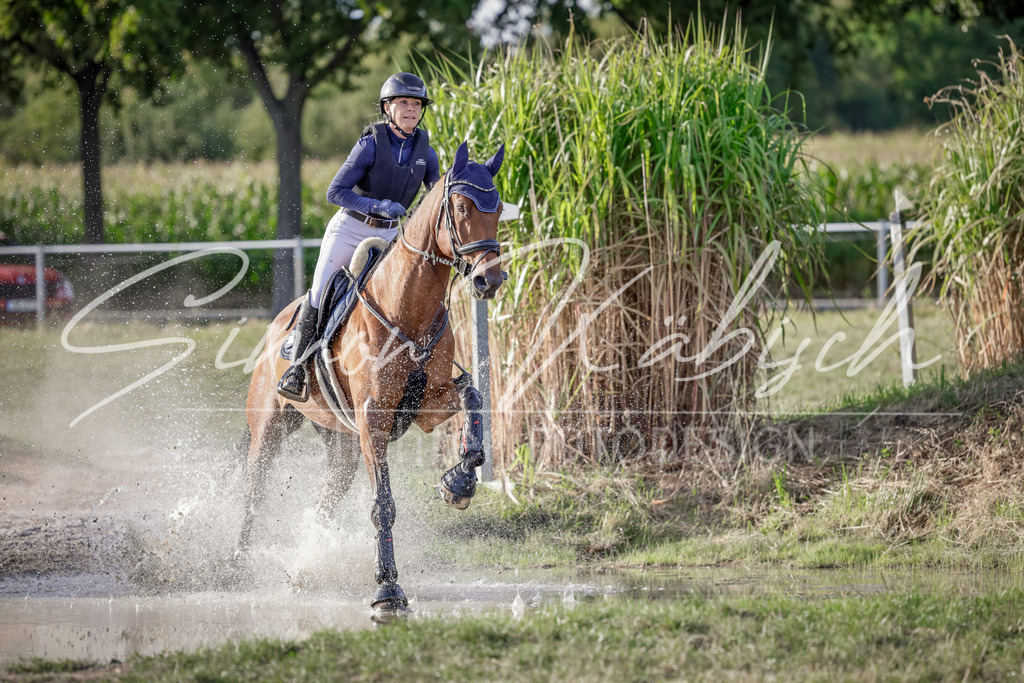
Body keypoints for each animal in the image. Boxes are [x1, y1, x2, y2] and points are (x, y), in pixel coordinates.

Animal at [238, 141, 506, 612]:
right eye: (461, 206)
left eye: (499, 209)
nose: (489, 280)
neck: (407, 310)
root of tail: (274, 328)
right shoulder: (373, 419)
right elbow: (383, 503)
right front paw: (387, 588)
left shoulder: (426, 407)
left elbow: (471, 397)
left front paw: (458, 484)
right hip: (270, 426)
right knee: (254, 487)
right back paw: (234, 564)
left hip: (341, 444)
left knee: (326, 497)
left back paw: (304, 565)